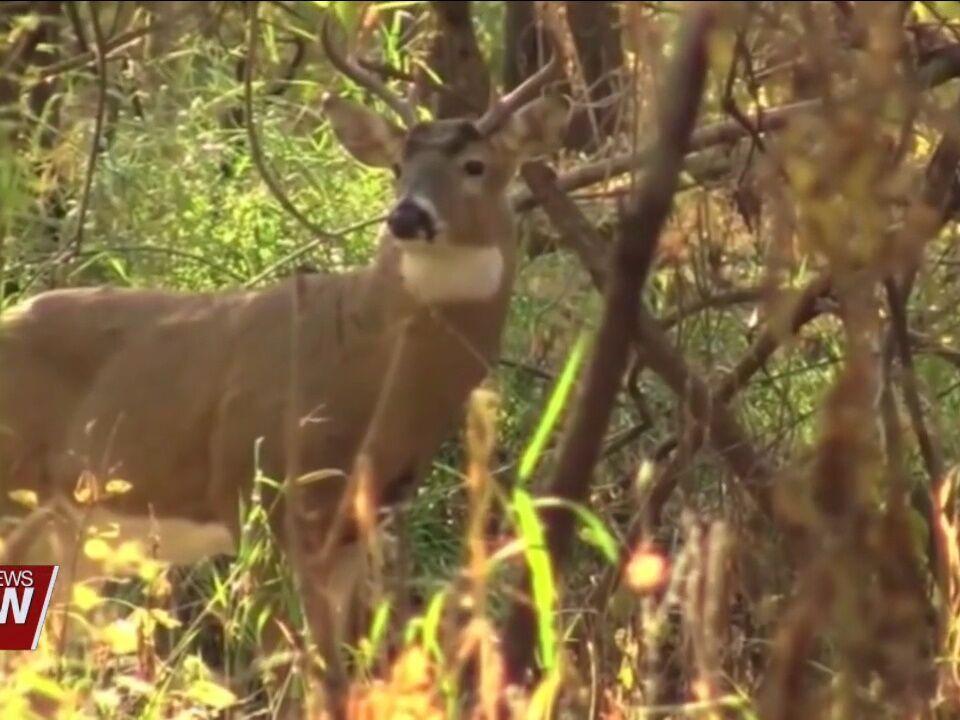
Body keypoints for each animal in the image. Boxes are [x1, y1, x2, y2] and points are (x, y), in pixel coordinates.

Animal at [0, 14, 568, 708]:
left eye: (476, 164)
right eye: (397, 166)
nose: (407, 216)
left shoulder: (351, 531)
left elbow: (337, 675)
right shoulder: (256, 492)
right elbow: (298, 672)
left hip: (74, 534)